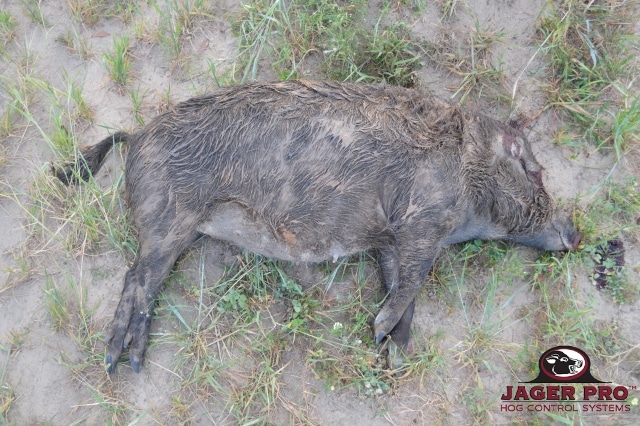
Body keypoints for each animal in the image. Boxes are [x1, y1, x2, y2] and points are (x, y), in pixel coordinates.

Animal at [55, 80, 581, 373]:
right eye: (535, 171)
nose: (576, 233)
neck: (469, 172)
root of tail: (136, 134)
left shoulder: (391, 239)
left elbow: (400, 287)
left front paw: (393, 352)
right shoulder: (421, 223)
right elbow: (413, 282)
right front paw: (382, 331)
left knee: (137, 278)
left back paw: (121, 361)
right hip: (167, 216)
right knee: (138, 279)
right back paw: (126, 362)